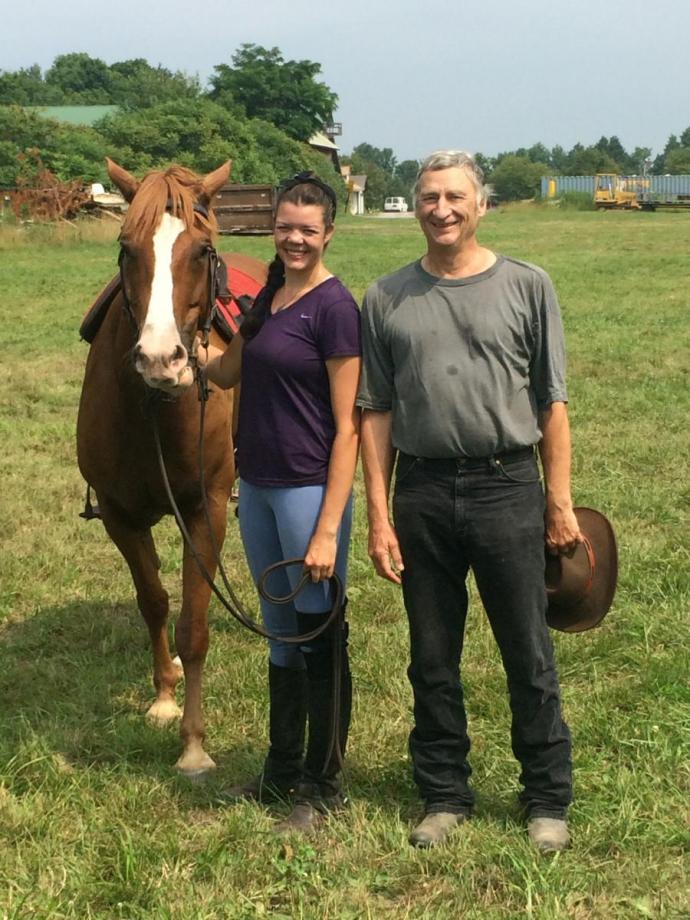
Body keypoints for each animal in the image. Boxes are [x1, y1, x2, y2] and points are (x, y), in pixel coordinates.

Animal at [77, 159, 266, 777]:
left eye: (202, 251)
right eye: (125, 247)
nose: (161, 360)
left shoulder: (205, 511)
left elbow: (194, 625)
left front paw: (194, 746)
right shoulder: (119, 516)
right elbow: (154, 602)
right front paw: (163, 697)